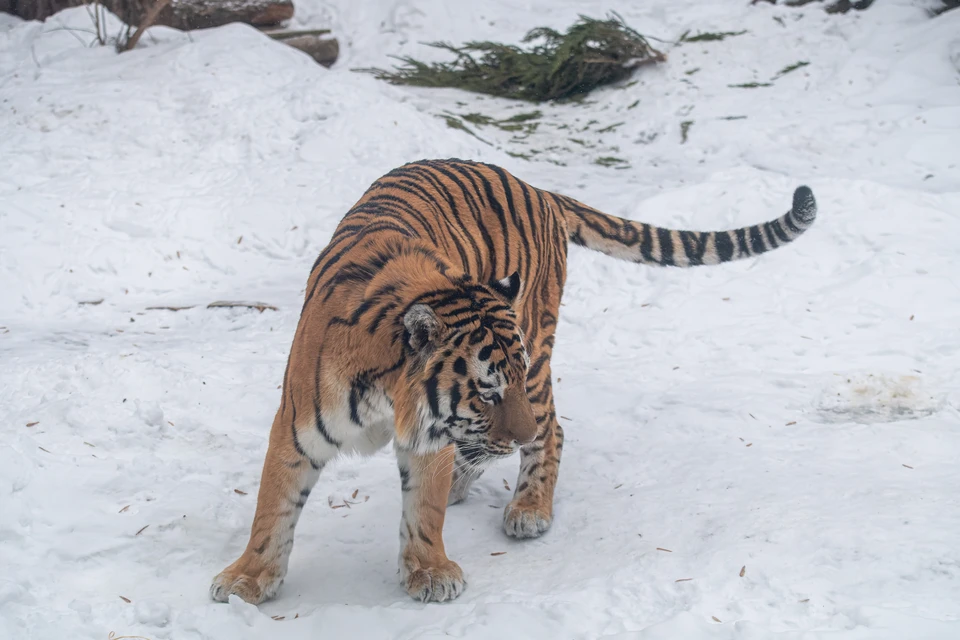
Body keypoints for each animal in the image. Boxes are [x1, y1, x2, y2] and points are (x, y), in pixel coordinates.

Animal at [208, 158, 808, 604]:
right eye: (487, 391)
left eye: (505, 385)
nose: (517, 432)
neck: (387, 395)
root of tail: (535, 187)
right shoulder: (296, 428)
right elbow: (273, 508)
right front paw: (246, 580)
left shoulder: (434, 435)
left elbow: (422, 509)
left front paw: (430, 572)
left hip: (540, 350)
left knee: (555, 430)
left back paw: (528, 509)